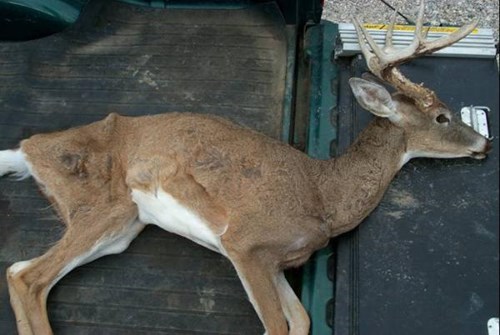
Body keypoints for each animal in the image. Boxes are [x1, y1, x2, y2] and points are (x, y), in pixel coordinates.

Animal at [0, 0, 492, 335]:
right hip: (105, 207)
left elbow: (302, 320)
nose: (485, 143)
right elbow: (277, 326)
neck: (324, 196)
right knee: (27, 277)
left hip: (125, 228)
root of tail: (27, 147)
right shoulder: (244, 242)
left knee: (20, 270)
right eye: (442, 117)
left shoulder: (276, 261)